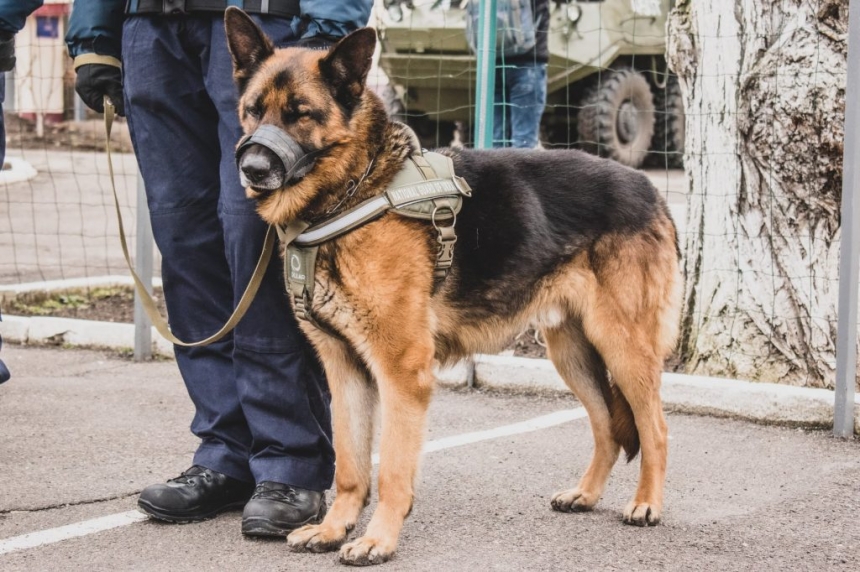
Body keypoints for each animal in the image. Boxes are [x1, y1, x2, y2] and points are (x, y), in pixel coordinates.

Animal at [225, 6, 680, 564]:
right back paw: (586, 494)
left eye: (301, 114)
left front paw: (378, 539)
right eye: (253, 110)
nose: (252, 168)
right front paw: (334, 528)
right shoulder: (345, 370)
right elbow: (350, 465)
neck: (356, 189)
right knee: (606, 427)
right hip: (572, 352)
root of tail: (650, 188)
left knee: (654, 427)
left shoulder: (402, 371)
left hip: (622, 345)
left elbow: (392, 468)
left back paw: (646, 503)